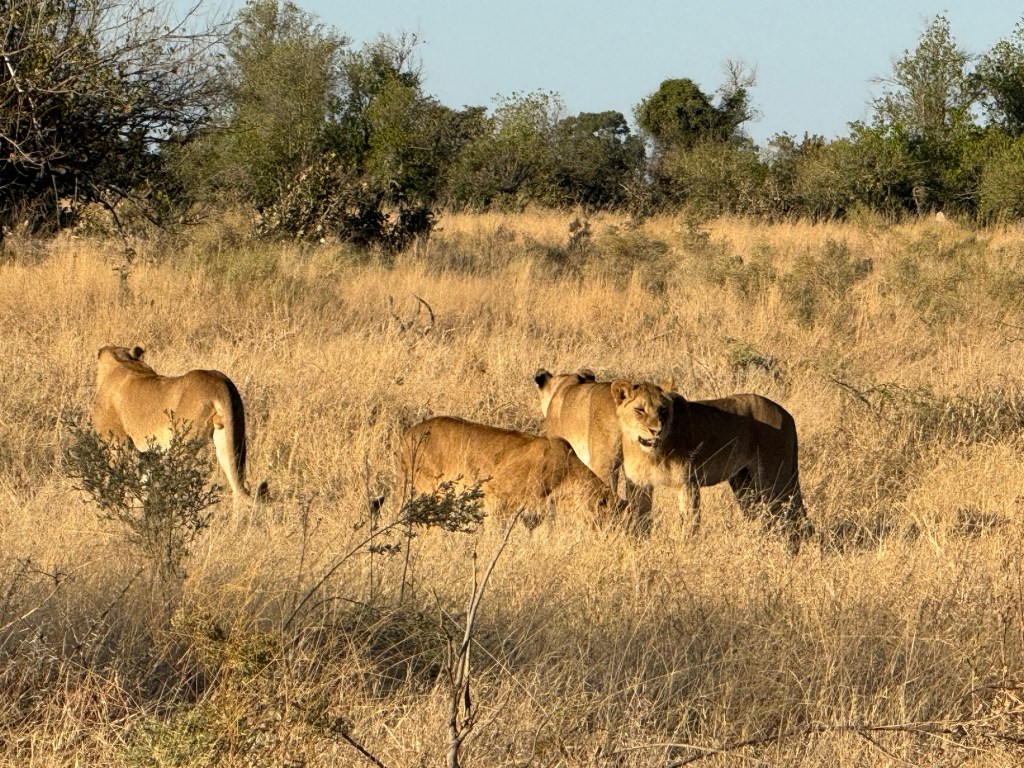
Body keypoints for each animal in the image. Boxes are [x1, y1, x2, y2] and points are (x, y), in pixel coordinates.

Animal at [93, 345, 258, 503]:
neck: (121, 361)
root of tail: (219, 384)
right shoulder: (148, 453)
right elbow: (144, 484)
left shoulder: (117, 443)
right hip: (231, 436)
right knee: (238, 484)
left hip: (182, 444)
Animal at [610, 379, 810, 552]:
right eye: (639, 410)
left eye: (663, 410)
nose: (656, 430)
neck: (651, 453)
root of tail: (786, 414)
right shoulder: (639, 484)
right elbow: (639, 521)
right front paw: (637, 547)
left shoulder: (688, 482)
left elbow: (690, 522)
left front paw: (685, 551)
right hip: (743, 483)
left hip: (775, 479)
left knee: (792, 519)